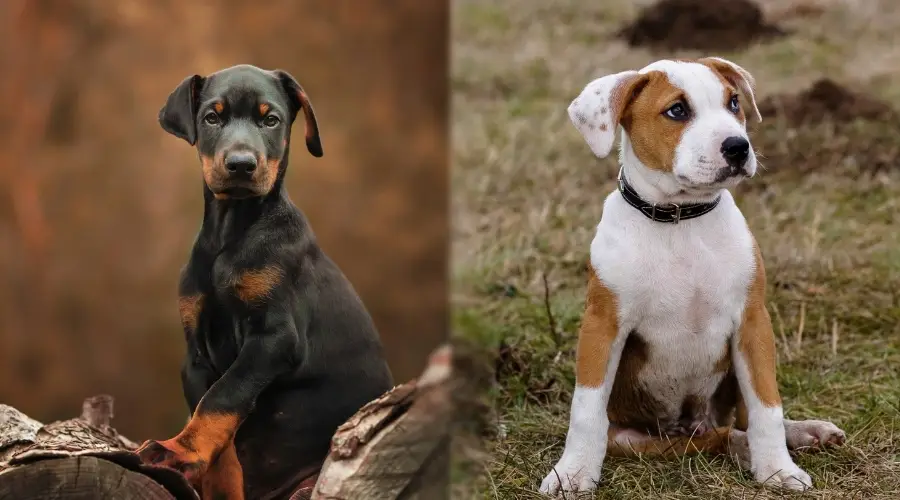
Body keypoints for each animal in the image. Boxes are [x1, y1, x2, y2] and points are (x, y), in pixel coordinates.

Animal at [137, 64, 394, 500]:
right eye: (212, 118)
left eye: (270, 119)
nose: (241, 164)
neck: (232, 231)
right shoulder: (196, 353)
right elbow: (215, 414)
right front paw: (207, 472)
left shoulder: (275, 337)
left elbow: (224, 396)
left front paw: (180, 451)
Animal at [536, 58, 848, 496]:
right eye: (677, 110)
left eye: (733, 102)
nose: (738, 146)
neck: (680, 219)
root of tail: (685, 424)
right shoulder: (602, 325)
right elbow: (586, 407)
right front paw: (573, 472)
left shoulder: (752, 322)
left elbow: (766, 405)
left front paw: (778, 468)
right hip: (638, 440)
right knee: (718, 438)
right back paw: (746, 448)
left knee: (740, 422)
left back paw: (803, 433)